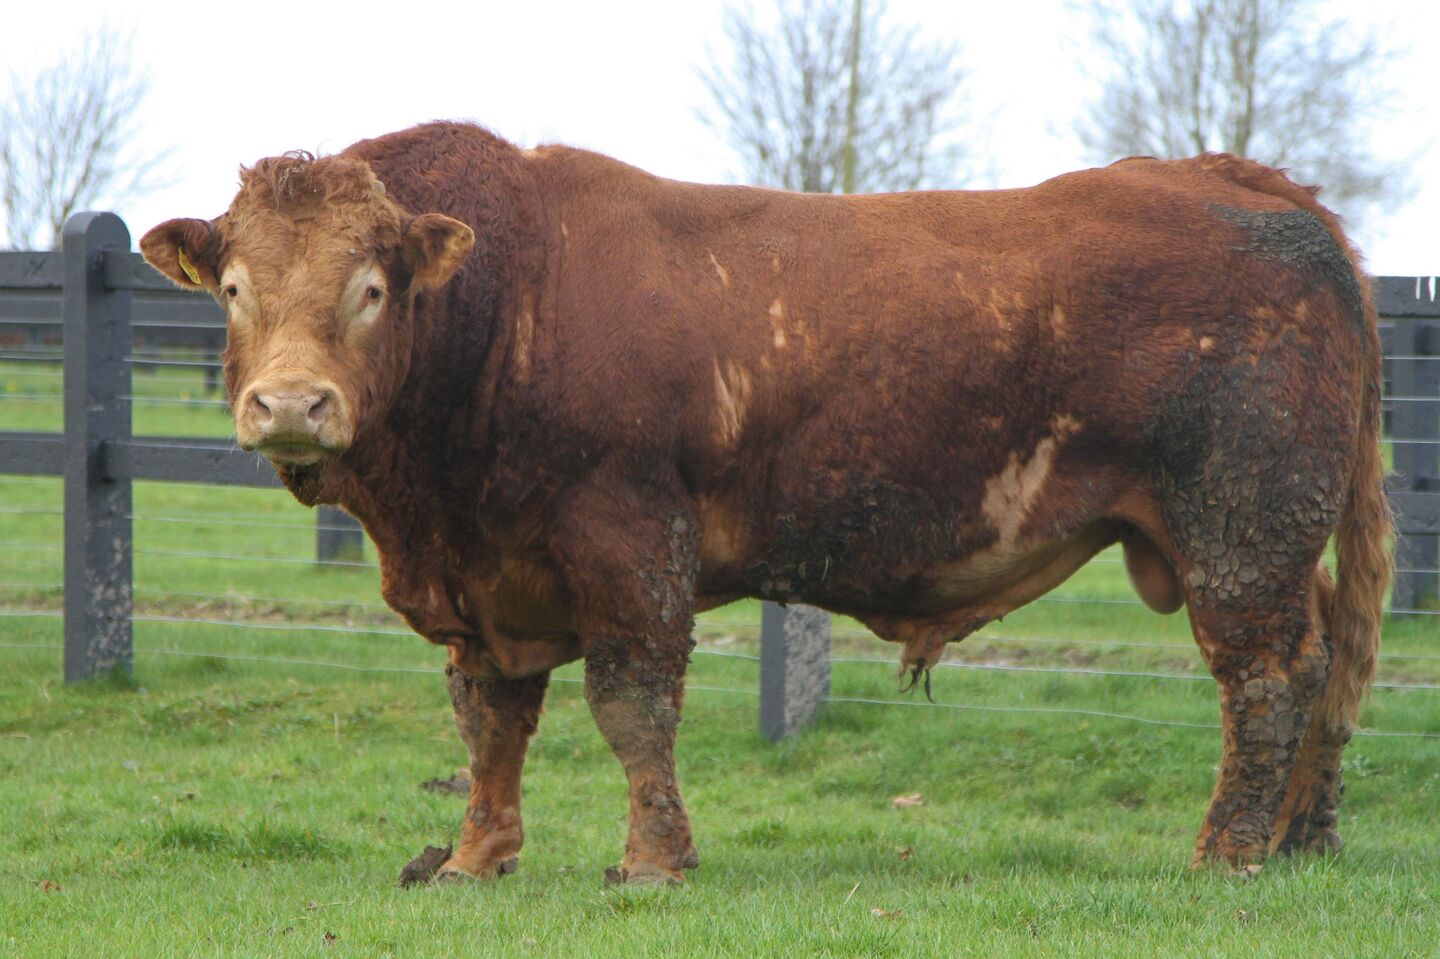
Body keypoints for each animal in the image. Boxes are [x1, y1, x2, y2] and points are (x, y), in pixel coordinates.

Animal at [140, 121, 1391, 885]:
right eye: (236, 287)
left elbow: (632, 703)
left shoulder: (628, 535)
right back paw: (1304, 838)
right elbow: (491, 715)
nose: (289, 403)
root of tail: (1237, 178)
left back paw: (1229, 847)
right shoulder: (489, 577)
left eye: (369, 288)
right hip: (1274, 538)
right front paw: (471, 858)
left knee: (1268, 677)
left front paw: (652, 858)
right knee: (1329, 660)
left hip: (1242, 528)